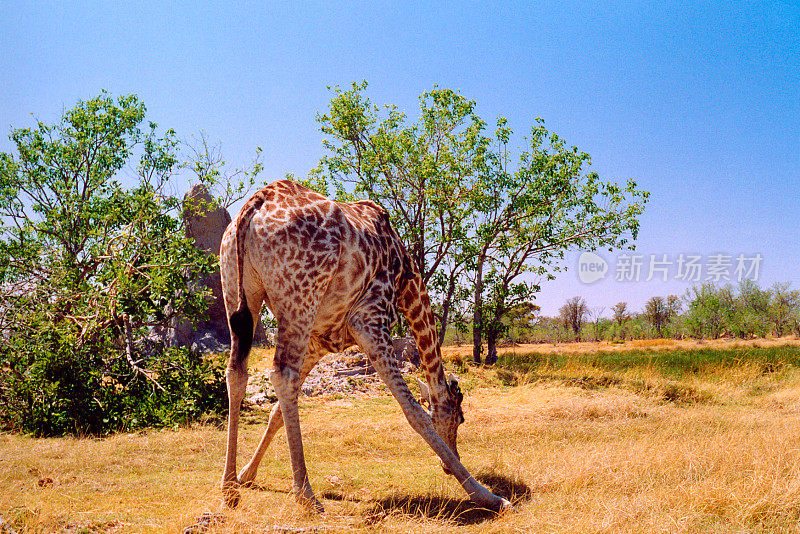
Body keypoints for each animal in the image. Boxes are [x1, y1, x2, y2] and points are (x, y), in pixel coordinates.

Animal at [217, 181, 512, 516]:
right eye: (460, 419)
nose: (450, 464)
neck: (407, 280)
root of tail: (256, 203)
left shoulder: (319, 342)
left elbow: (276, 412)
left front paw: (247, 474)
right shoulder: (369, 321)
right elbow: (413, 411)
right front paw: (487, 496)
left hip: (238, 293)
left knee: (237, 373)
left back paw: (229, 488)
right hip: (298, 300)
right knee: (282, 376)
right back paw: (306, 495)